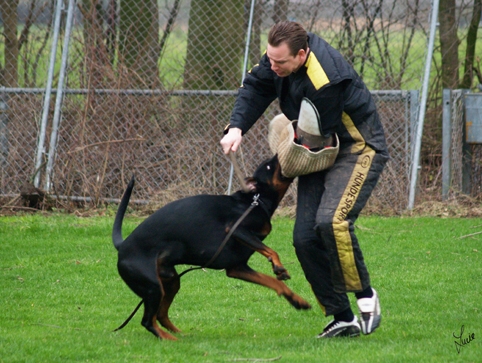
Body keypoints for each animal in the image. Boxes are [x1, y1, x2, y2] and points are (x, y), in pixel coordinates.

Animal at [111, 155, 310, 340]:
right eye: (269, 166)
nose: (277, 154)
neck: (255, 200)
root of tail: (122, 246)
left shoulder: (237, 268)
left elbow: (275, 282)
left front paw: (296, 300)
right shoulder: (237, 229)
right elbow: (272, 251)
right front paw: (278, 267)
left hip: (171, 282)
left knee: (160, 315)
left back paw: (179, 334)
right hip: (153, 287)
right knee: (147, 321)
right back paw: (169, 339)